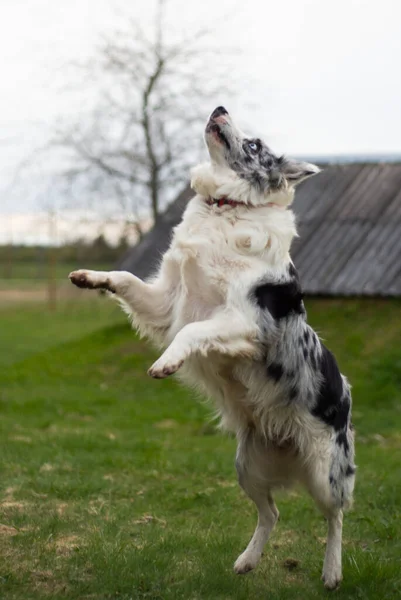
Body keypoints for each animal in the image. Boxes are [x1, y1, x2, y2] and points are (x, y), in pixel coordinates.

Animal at [69, 106, 354, 592]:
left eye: (255, 144)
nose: (220, 108)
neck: (226, 208)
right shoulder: (166, 301)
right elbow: (126, 280)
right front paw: (91, 277)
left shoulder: (245, 322)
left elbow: (191, 333)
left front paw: (166, 362)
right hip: (247, 465)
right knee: (272, 513)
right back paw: (247, 561)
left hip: (325, 471)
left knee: (334, 517)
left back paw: (332, 572)